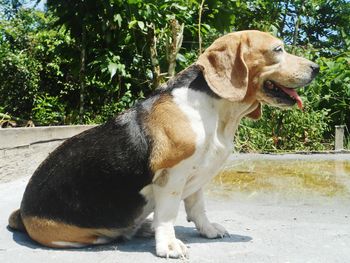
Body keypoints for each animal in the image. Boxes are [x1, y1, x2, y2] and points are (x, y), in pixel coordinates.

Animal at [8, 29, 320, 258]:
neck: (216, 112)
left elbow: (198, 207)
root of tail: (22, 214)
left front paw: (207, 230)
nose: (316, 68)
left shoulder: (197, 174)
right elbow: (168, 214)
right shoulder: (172, 176)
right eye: (278, 50)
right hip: (79, 235)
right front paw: (168, 245)